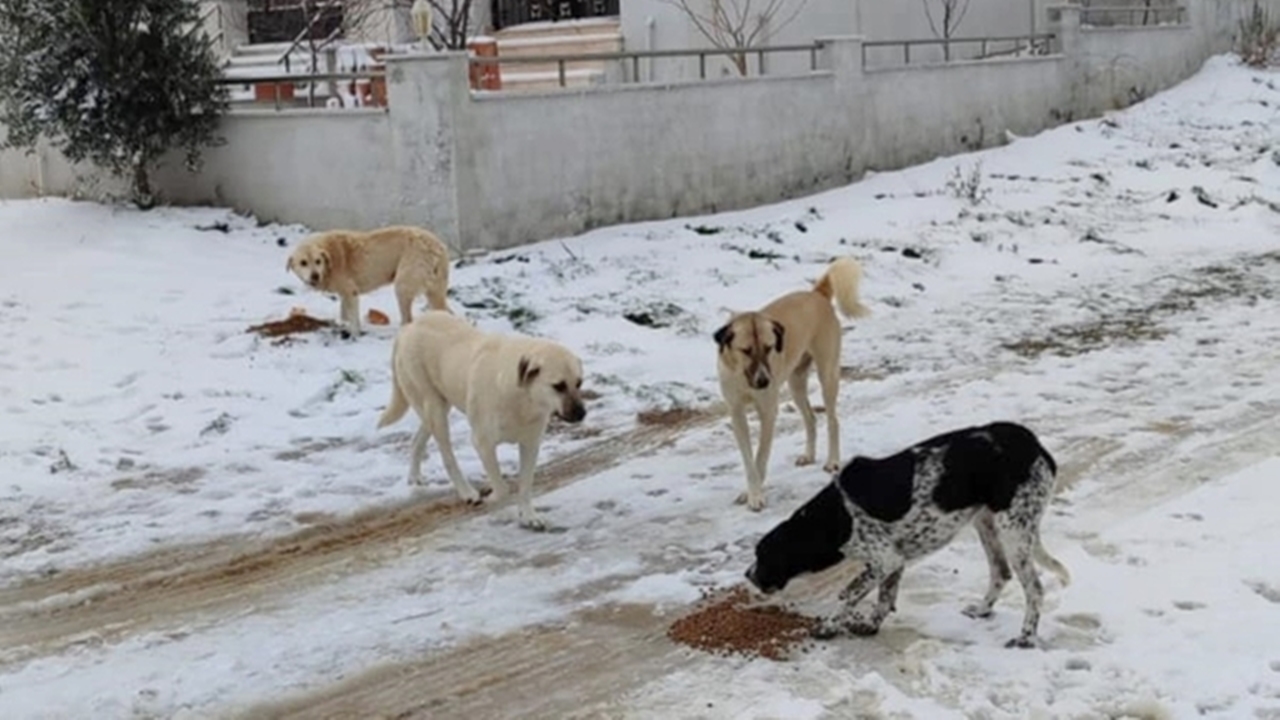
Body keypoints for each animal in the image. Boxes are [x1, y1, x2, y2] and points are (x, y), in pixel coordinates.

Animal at [285, 224, 450, 333]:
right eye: (303, 263)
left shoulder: (351, 292)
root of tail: (437, 245)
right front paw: (344, 324)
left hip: (402, 286)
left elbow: (353, 318)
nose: (315, 275)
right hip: (434, 291)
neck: (330, 259)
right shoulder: (344, 294)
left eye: (318, 261)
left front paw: (354, 334)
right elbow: (344, 313)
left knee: (408, 319)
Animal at [373, 308, 586, 527]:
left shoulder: (531, 444)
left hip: (438, 406)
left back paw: (414, 476)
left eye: (579, 383)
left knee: (417, 440)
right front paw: (492, 499)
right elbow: (502, 488)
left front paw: (529, 516)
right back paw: (468, 493)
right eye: (558, 386)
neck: (521, 398)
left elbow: (525, 485)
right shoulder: (483, 444)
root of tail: (409, 327)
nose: (581, 414)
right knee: (447, 457)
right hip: (434, 408)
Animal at [716, 256, 875, 509]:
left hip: (827, 375)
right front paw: (750, 492)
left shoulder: (768, 412)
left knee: (833, 420)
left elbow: (760, 457)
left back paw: (832, 461)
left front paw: (757, 495)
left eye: (769, 348)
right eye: (746, 350)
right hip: (795, 383)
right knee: (810, 418)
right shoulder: (736, 413)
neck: (743, 377)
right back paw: (809, 455)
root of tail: (817, 294)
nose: (763, 380)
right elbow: (749, 460)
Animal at [742, 417, 1070, 648]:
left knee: (1035, 590)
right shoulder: (894, 561)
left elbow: (850, 594)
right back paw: (981, 611)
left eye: (762, 556)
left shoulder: (884, 559)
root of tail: (1035, 445)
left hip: (1014, 531)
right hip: (987, 524)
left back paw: (1026, 638)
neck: (836, 515)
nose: (747, 575)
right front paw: (870, 626)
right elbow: (884, 598)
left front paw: (829, 626)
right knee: (1001, 572)